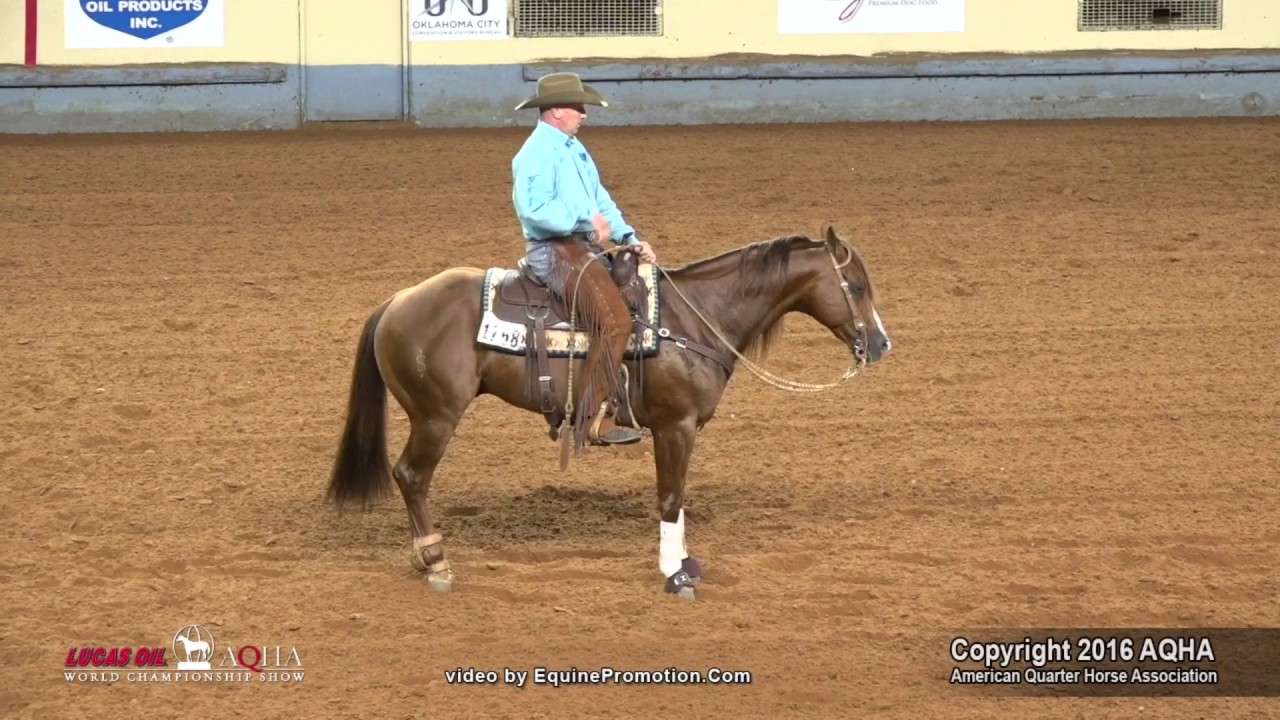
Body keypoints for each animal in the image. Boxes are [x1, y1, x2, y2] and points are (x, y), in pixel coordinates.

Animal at [325, 225, 892, 601]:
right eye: (857, 286)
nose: (881, 344)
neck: (692, 319)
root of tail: (398, 300)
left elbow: (678, 498)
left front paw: (685, 563)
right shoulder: (675, 426)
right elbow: (670, 498)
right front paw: (674, 574)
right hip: (437, 416)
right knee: (411, 475)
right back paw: (436, 561)